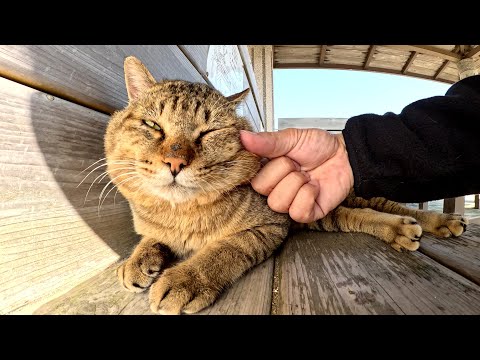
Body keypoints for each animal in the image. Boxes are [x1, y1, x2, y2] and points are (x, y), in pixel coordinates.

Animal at [103, 54, 466, 314]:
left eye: (208, 132)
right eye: (152, 125)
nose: (175, 162)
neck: (181, 212)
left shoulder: (269, 226)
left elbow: (225, 248)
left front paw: (186, 278)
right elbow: (151, 237)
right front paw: (136, 260)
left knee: (388, 206)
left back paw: (439, 221)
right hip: (322, 213)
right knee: (358, 216)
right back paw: (405, 229)